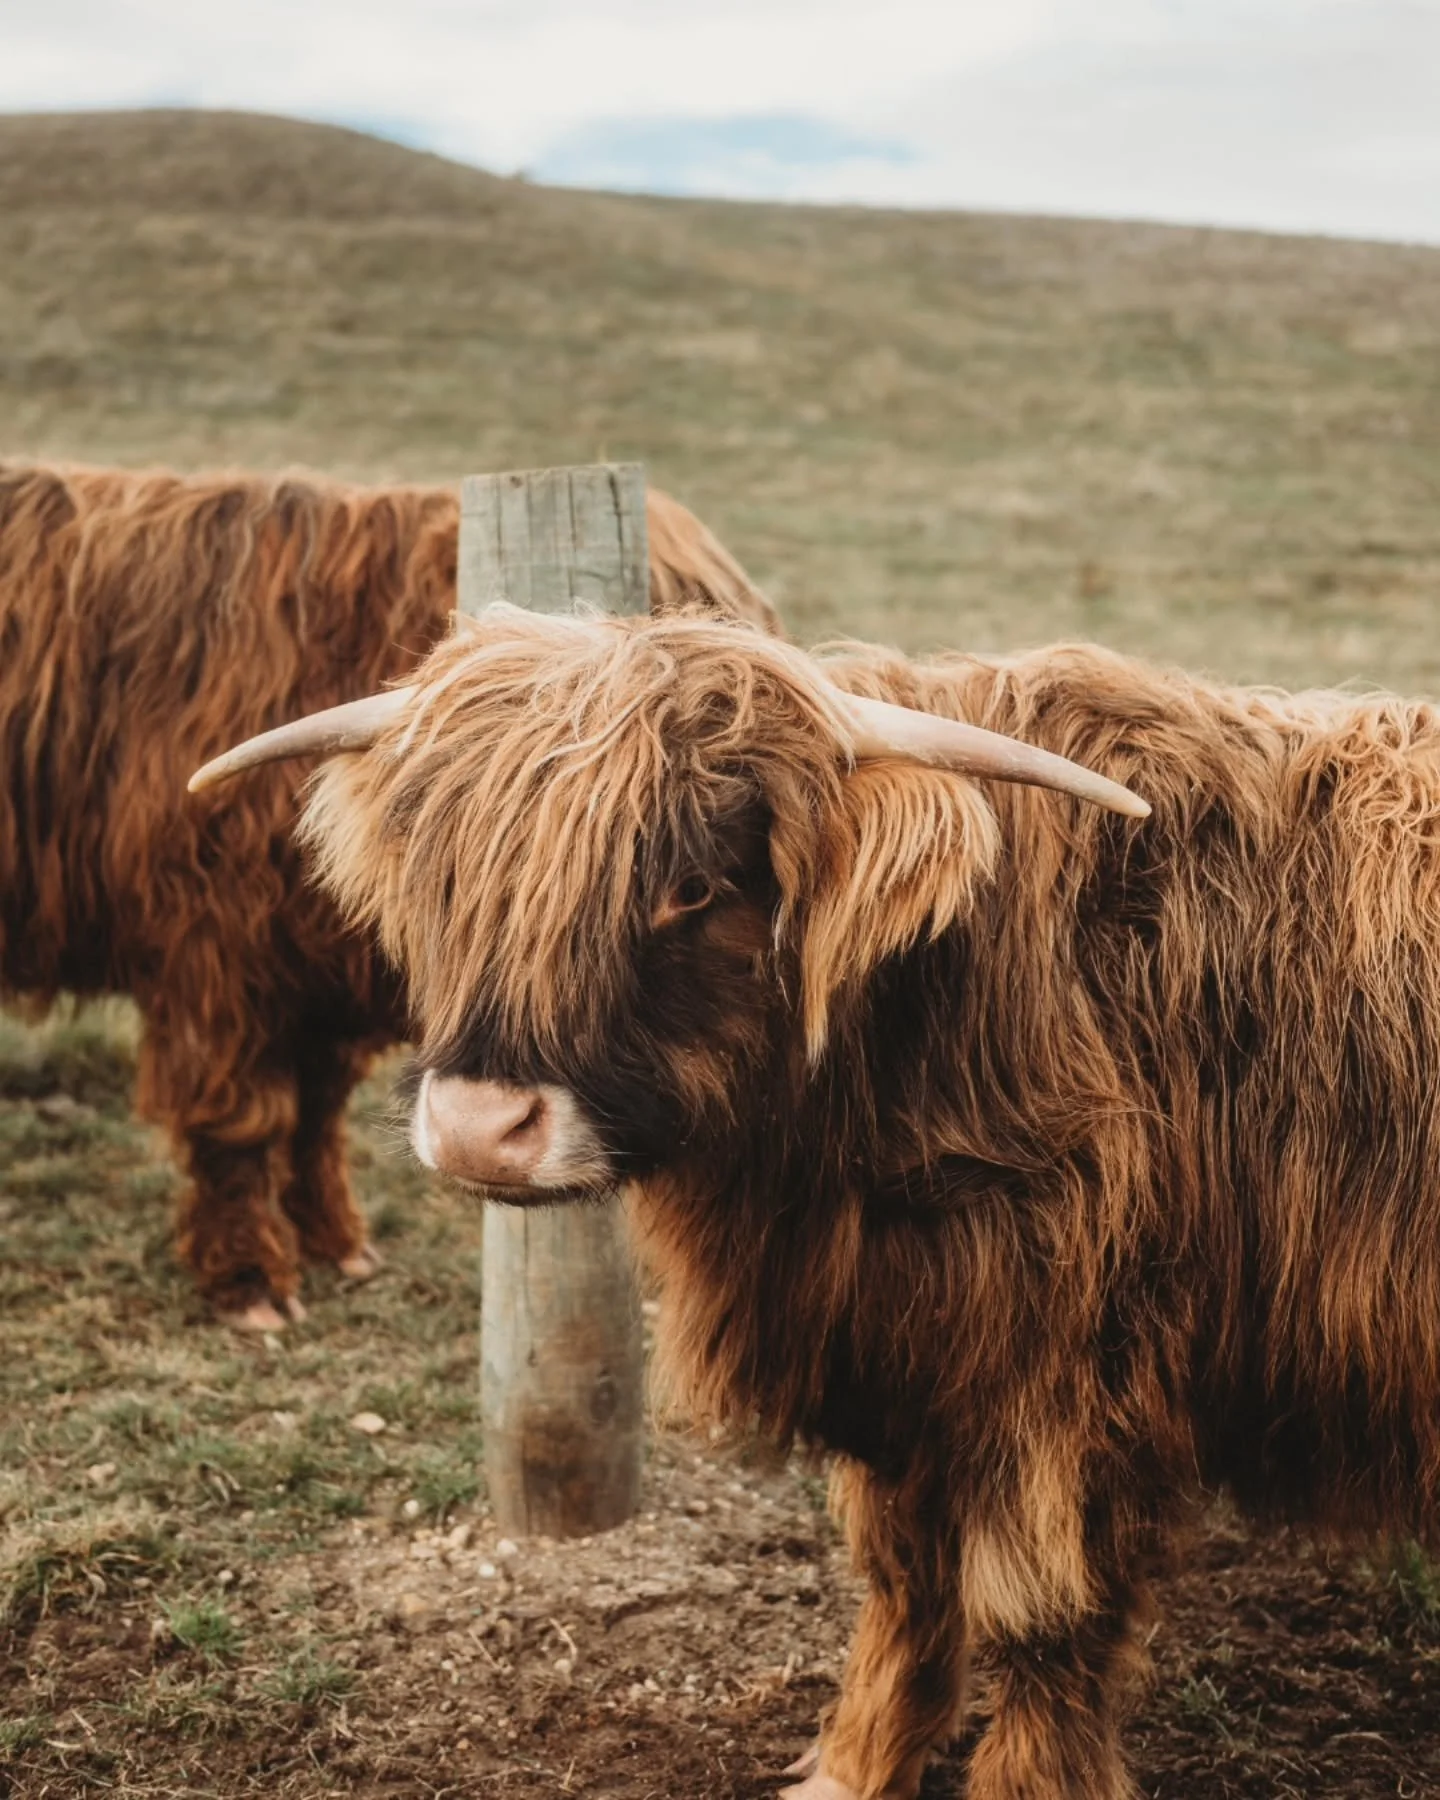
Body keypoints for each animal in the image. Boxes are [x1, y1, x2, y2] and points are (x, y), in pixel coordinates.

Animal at [0, 465, 776, 1331]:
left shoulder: (313, 976)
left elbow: (316, 1112)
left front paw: (338, 1243)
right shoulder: (217, 959)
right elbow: (244, 1123)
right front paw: (251, 1281)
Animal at [192, 603, 1440, 1798]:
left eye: (693, 886)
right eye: (452, 874)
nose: (477, 1128)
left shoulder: (1073, 1381)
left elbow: (1047, 1617)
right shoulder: (899, 1356)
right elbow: (907, 1580)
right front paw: (851, 1768)